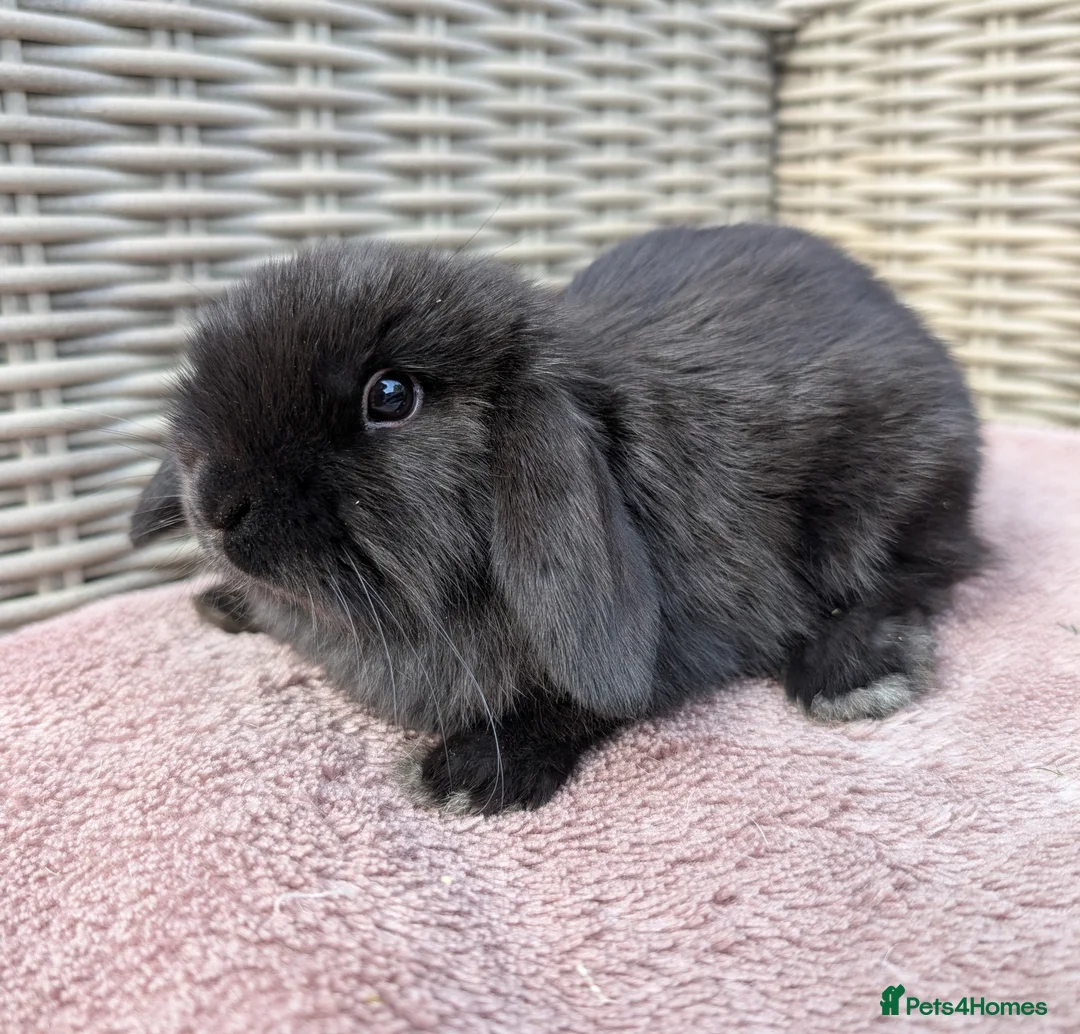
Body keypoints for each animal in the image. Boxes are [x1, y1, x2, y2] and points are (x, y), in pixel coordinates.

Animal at [131, 224, 985, 815]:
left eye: (390, 397)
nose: (215, 504)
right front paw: (227, 603)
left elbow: (588, 699)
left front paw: (471, 772)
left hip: (892, 496)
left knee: (925, 570)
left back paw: (850, 673)